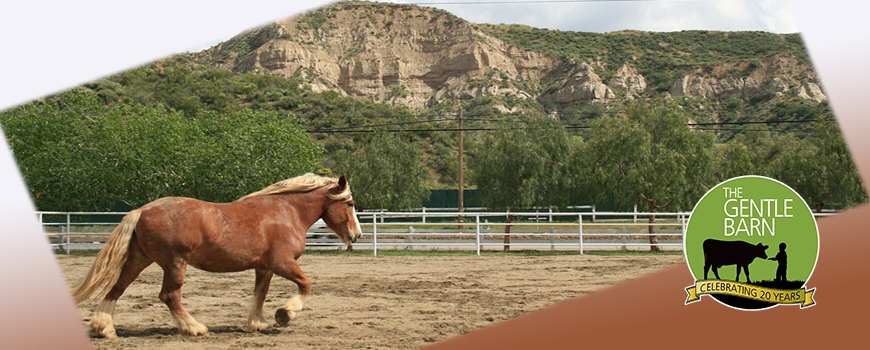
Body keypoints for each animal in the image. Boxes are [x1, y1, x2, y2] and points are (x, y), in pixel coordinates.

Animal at [67, 174, 362, 338]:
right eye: (350, 204)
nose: (356, 235)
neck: (286, 211)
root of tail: (142, 210)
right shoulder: (283, 263)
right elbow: (306, 285)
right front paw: (284, 314)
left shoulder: (264, 267)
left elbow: (260, 293)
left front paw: (258, 323)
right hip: (175, 263)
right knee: (169, 295)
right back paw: (194, 327)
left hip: (139, 260)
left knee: (116, 288)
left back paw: (104, 328)